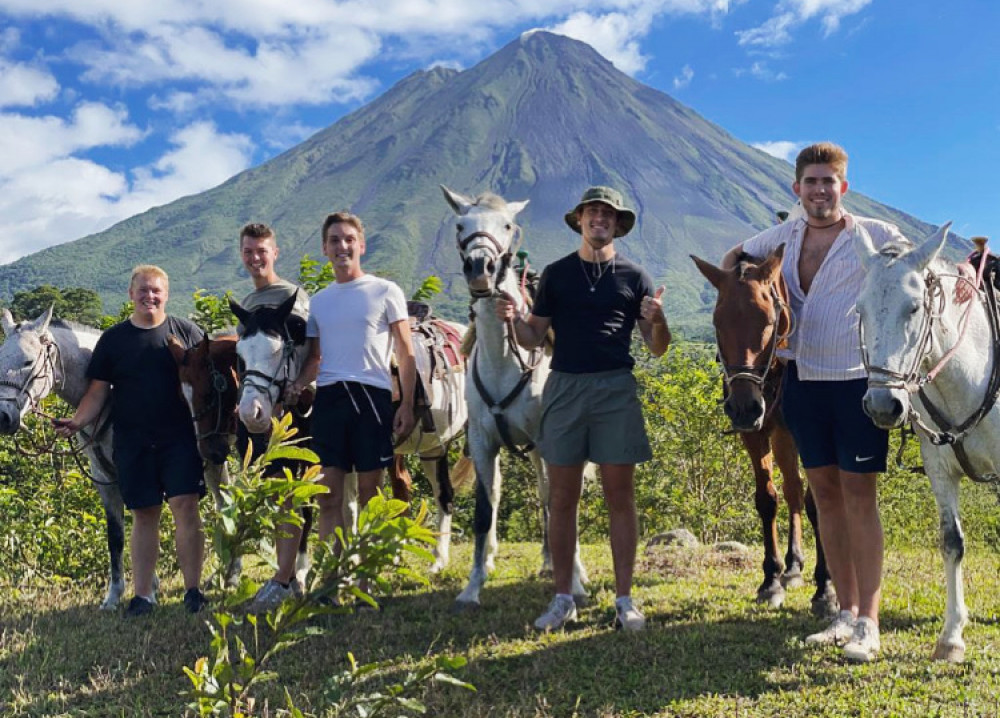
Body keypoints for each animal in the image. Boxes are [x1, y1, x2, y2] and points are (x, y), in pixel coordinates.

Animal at [442, 187, 588, 612]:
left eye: (507, 225)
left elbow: (560, 501)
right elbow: (484, 508)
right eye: (461, 226)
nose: (480, 267)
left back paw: (559, 563)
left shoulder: (552, 440)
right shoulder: (481, 441)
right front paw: (473, 586)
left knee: (550, 496)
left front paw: (574, 582)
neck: (504, 358)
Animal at [688, 248, 836, 620]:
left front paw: (826, 587)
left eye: (769, 321)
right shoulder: (755, 435)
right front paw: (771, 580)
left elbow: (820, 504)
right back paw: (793, 567)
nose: (744, 407)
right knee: (793, 489)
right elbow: (768, 499)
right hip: (780, 435)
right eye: (717, 323)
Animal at [852, 224, 992, 664]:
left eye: (914, 308)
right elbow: (952, 543)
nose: (883, 405)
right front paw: (951, 636)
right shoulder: (940, 472)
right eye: (860, 310)